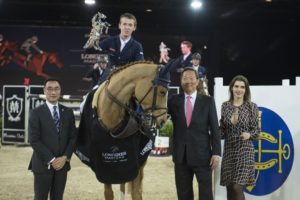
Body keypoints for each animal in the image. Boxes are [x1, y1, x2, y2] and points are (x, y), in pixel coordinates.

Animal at [76, 61, 170, 200]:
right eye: (162, 92)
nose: (163, 120)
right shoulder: (104, 168)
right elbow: (109, 193)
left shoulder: (134, 162)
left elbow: (136, 192)